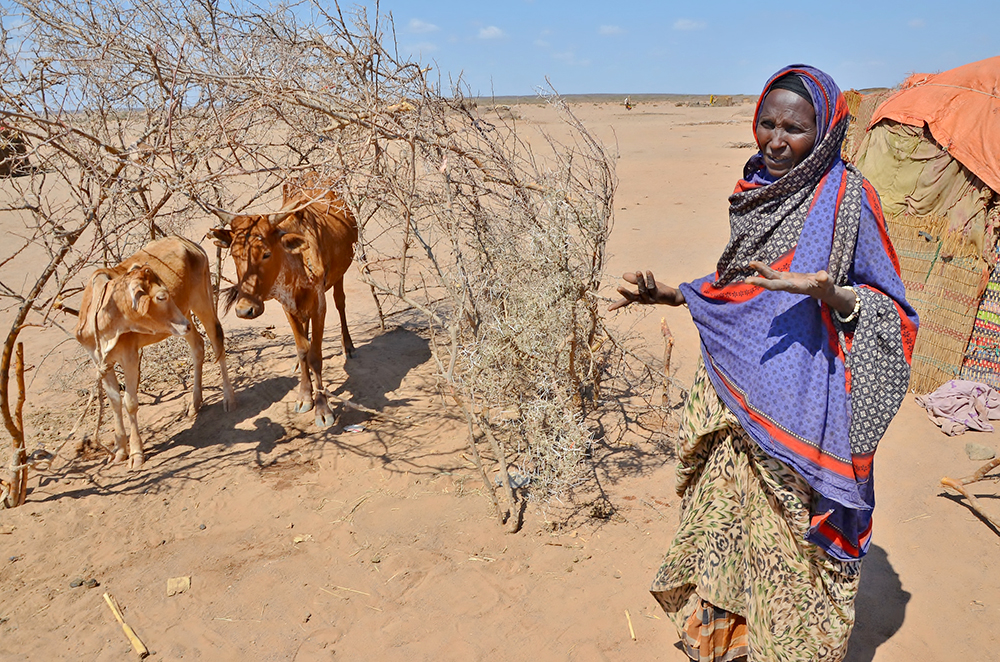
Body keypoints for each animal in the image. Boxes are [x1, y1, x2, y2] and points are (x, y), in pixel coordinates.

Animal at [76, 236, 236, 470]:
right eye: (161, 297)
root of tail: (189, 244)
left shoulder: (130, 357)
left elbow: (130, 403)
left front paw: (136, 454)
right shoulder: (100, 361)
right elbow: (114, 401)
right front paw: (120, 451)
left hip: (201, 302)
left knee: (217, 341)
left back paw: (228, 399)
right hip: (184, 315)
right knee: (197, 346)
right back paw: (194, 404)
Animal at [205, 174, 358, 428]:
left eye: (266, 253)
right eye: (235, 254)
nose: (245, 310)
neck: (296, 265)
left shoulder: (319, 304)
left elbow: (315, 355)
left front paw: (323, 409)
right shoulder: (288, 305)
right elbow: (302, 349)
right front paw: (305, 396)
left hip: (340, 274)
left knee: (341, 302)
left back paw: (349, 346)